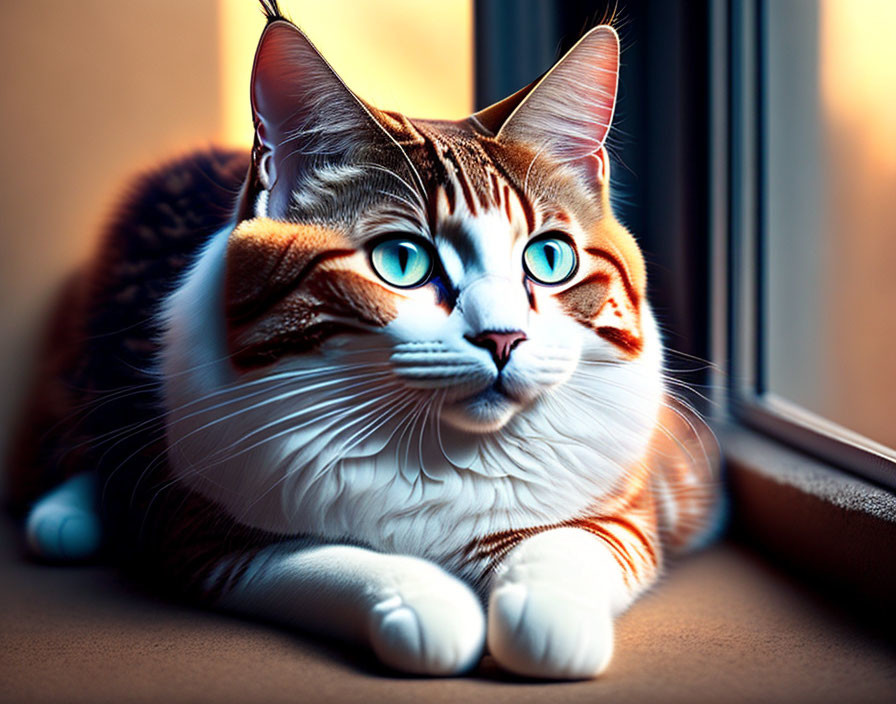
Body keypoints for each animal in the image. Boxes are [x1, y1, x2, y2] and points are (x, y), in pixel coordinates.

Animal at [8, 1, 720, 680]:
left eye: (549, 258)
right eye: (402, 261)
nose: (503, 338)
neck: (439, 448)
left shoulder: (631, 506)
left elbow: (564, 549)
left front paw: (547, 620)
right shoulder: (204, 535)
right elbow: (328, 561)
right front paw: (427, 607)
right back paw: (65, 515)